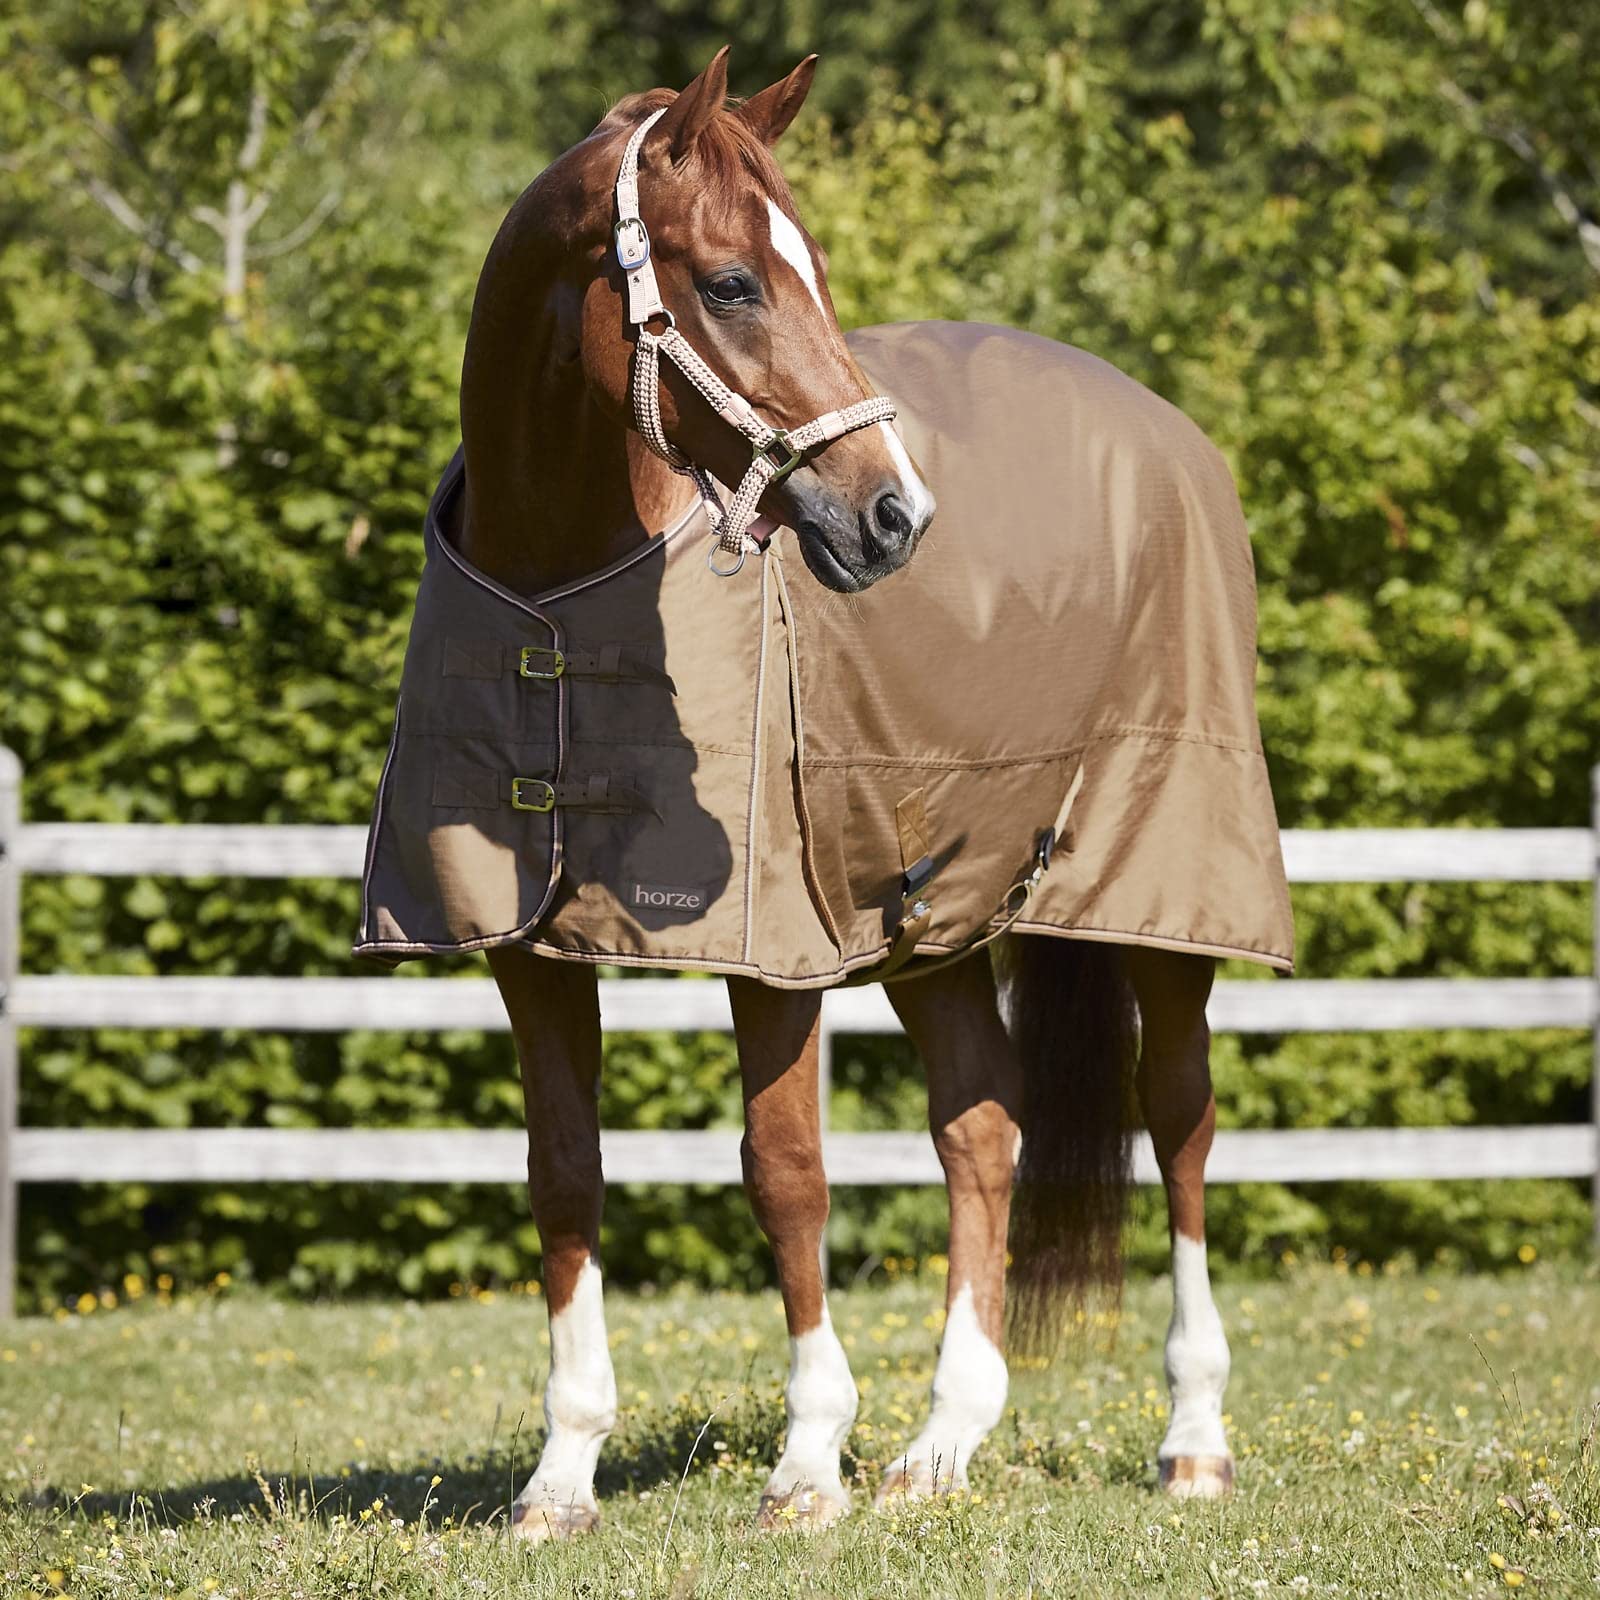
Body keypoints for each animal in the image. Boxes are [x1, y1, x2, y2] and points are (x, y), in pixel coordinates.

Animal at [363, 46, 1293, 1536]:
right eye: (734, 281)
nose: (896, 517)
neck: (564, 590)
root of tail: (1170, 434)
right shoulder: (529, 949)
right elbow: (565, 1173)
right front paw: (562, 1474)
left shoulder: (775, 949)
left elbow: (785, 1172)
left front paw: (807, 1464)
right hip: (935, 909)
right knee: (982, 1127)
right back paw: (941, 1444)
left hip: (1159, 894)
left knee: (1182, 1124)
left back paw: (1192, 1438)